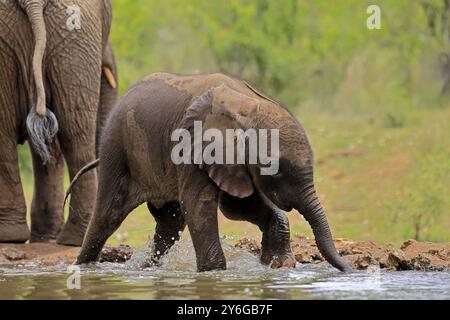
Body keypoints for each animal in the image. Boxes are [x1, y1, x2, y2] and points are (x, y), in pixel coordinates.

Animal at [74, 73, 352, 272]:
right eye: (277, 171)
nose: (348, 270)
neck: (247, 106)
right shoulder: (191, 145)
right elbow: (199, 206)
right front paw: (214, 273)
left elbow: (236, 206)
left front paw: (279, 264)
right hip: (116, 147)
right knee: (108, 216)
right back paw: (84, 267)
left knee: (170, 222)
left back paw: (146, 268)